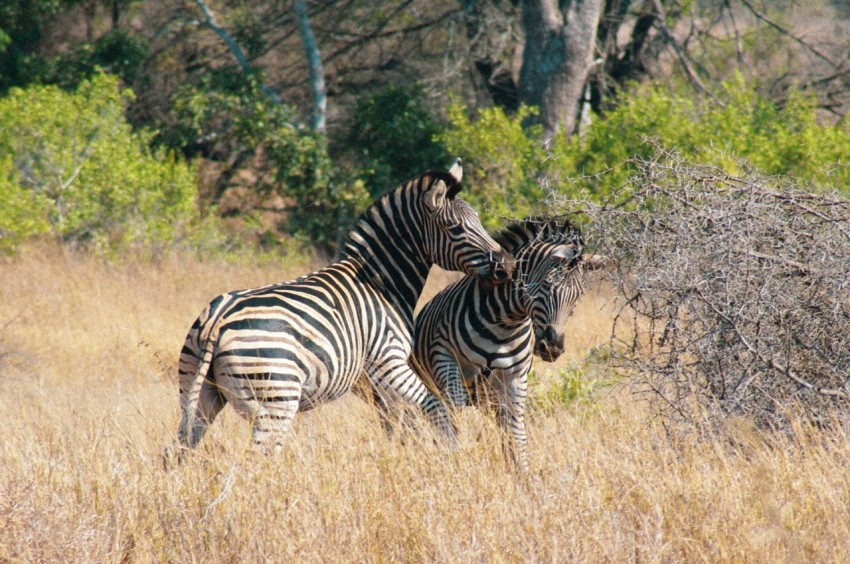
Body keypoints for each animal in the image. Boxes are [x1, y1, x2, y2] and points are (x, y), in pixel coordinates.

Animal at [166, 159, 510, 458]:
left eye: (478, 220)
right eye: (455, 228)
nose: (507, 265)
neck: (379, 282)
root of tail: (216, 320)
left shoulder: (375, 382)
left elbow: (399, 424)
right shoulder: (387, 361)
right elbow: (434, 409)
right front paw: (453, 457)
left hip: (199, 392)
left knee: (178, 448)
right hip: (276, 399)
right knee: (259, 457)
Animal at [410, 218, 604, 474]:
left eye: (578, 295)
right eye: (546, 285)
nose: (553, 347)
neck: (505, 324)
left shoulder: (515, 378)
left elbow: (516, 434)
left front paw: (522, 474)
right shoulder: (445, 357)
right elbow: (455, 417)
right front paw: (459, 458)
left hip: (488, 398)